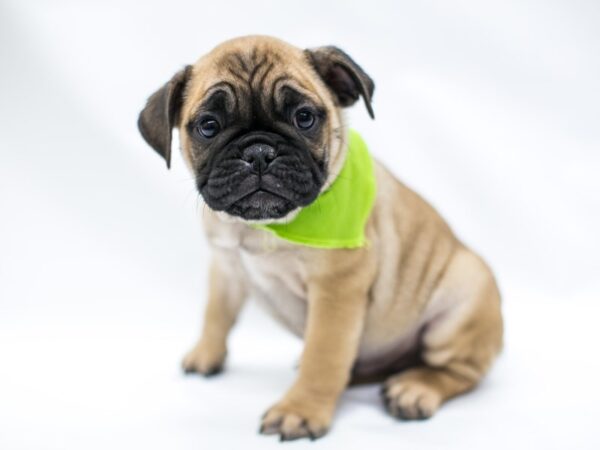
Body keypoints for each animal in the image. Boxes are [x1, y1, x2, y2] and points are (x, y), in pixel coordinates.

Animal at [138, 34, 504, 440]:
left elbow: (323, 356)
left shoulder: (335, 291)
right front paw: (205, 354)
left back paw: (415, 388)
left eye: (304, 118)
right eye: (208, 126)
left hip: (463, 300)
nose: (259, 152)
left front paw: (300, 411)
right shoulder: (227, 266)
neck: (263, 228)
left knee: (458, 371)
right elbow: (216, 313)